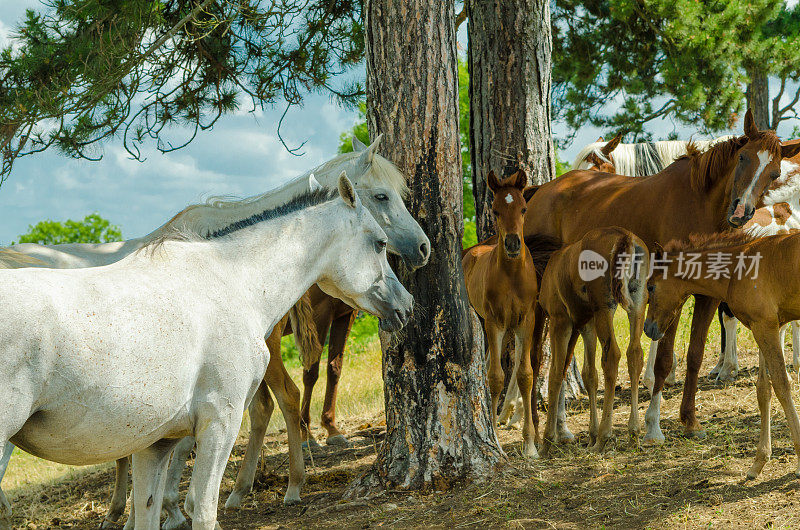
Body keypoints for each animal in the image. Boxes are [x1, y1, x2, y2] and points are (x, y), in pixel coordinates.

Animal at [462, 171, 544, 456]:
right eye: (495, 211)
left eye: (523, 209)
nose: (512, 244)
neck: (511, 275)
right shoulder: (494, 321)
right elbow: (496, 377)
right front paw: (495, 440)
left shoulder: (526, 320)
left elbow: (525, 374)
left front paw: (530, 445)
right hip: (483, 321)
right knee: (488, 366)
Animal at [536, 227, 648, 454]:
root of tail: (625, 236)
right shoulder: (586, 324)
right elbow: (589, 375)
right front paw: (591, 435)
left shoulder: (560, 320)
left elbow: (555, 374)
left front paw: (547, 441)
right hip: (638, 301)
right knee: (634, 354)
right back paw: (633, 433)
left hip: (604, 306)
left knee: (612, 356)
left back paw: (605, 436)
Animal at [648, 229, 800, 476]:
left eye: (650, 286)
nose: (648, 327)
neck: (739, 268)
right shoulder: (764, 325)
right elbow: (764, 389)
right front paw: (759, 461)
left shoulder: (764, 327)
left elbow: (781, 385)